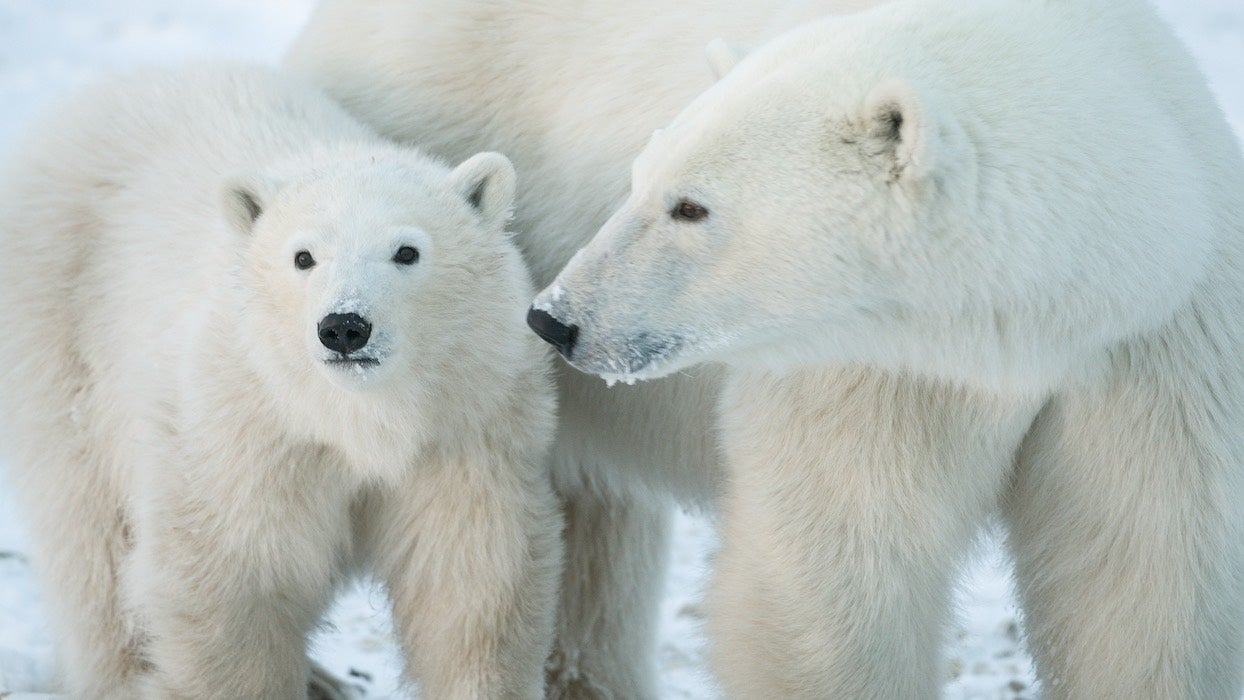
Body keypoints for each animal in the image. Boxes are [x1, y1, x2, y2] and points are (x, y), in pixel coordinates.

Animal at [529, 0, 1244, 696]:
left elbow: (1137, 580)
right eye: (637, 178)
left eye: (690, 206)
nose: (555, 318)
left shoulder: (1155, 353)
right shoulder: (878, 366)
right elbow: (843, 572)